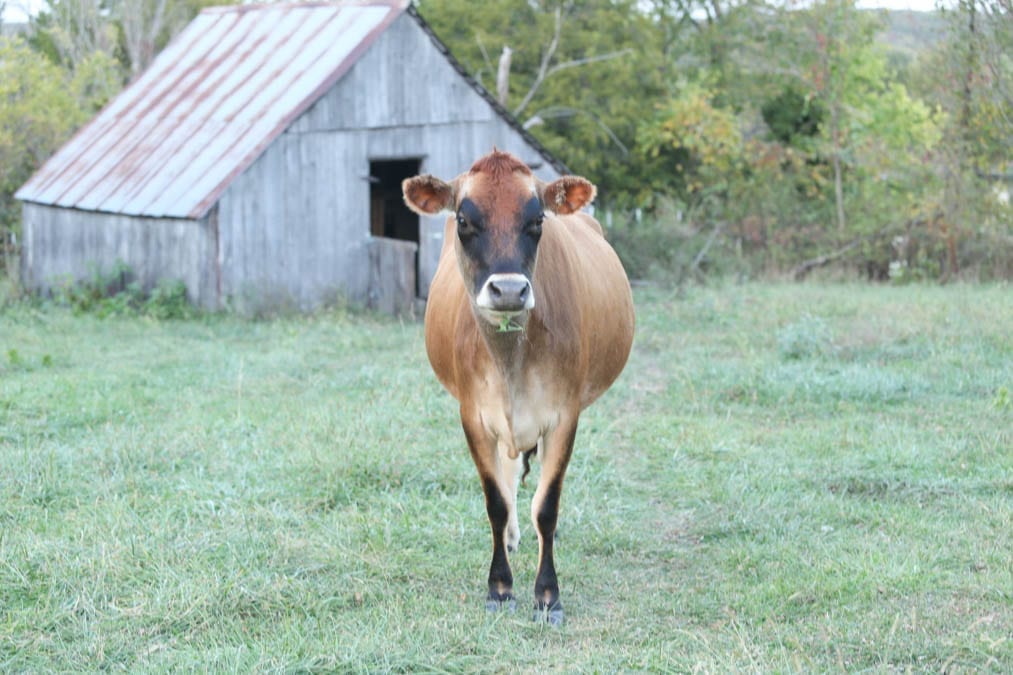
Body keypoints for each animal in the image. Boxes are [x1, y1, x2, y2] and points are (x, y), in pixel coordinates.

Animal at [403, 148, 632, 620]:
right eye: (464, 219)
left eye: (537, 220)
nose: (508, 290)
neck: (511, 363)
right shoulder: (472, 415)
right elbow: (494, 500)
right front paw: (500, 587)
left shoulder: (564, 416)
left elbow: (547, 505)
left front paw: (547, 594)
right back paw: (510, 535)